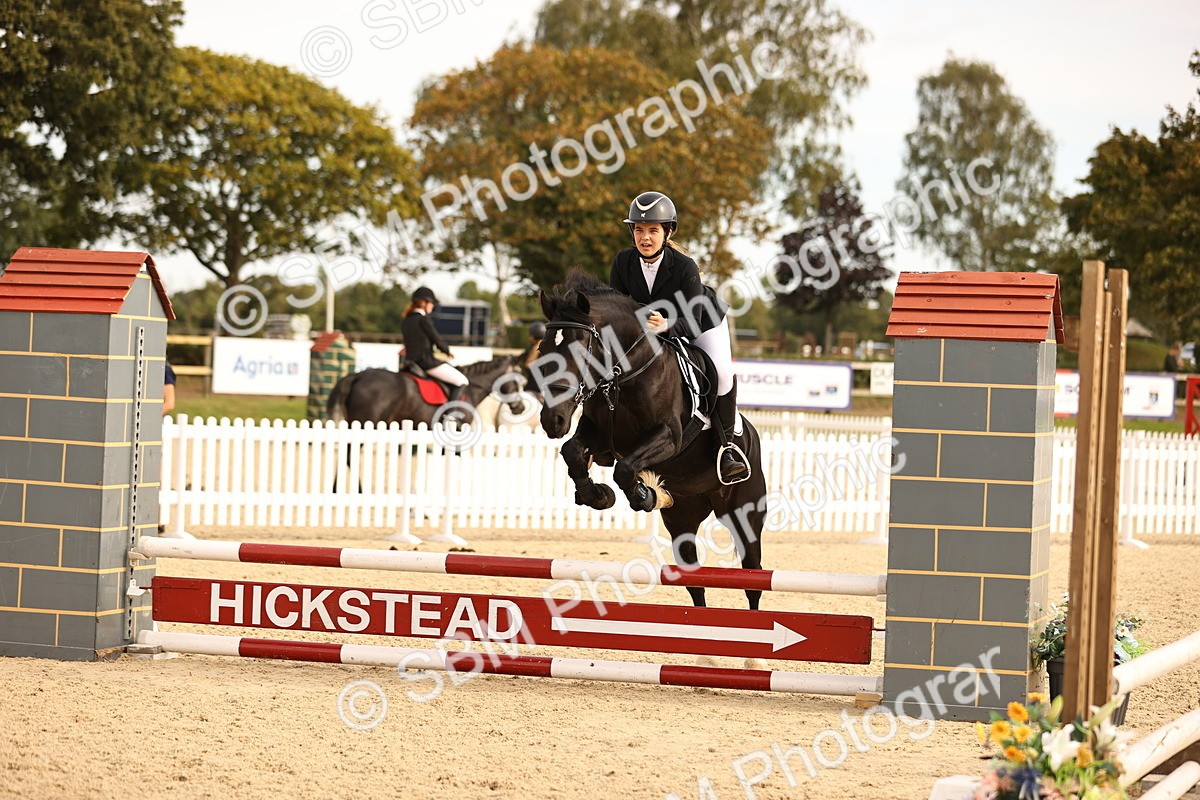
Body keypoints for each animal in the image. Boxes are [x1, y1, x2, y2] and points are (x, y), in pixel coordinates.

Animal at [534, 269, 767, 610]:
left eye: (578, 352)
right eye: (542, 350)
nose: (553, 420)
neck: (626, 372)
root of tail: (750, 434)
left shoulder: (668, 437)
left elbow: (624, 469)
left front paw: (643, 495)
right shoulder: (599, 434)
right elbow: (572, 451)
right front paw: (597, 495)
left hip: (745, 514)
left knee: (753, 576)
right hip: (683, 519)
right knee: (693, 579)